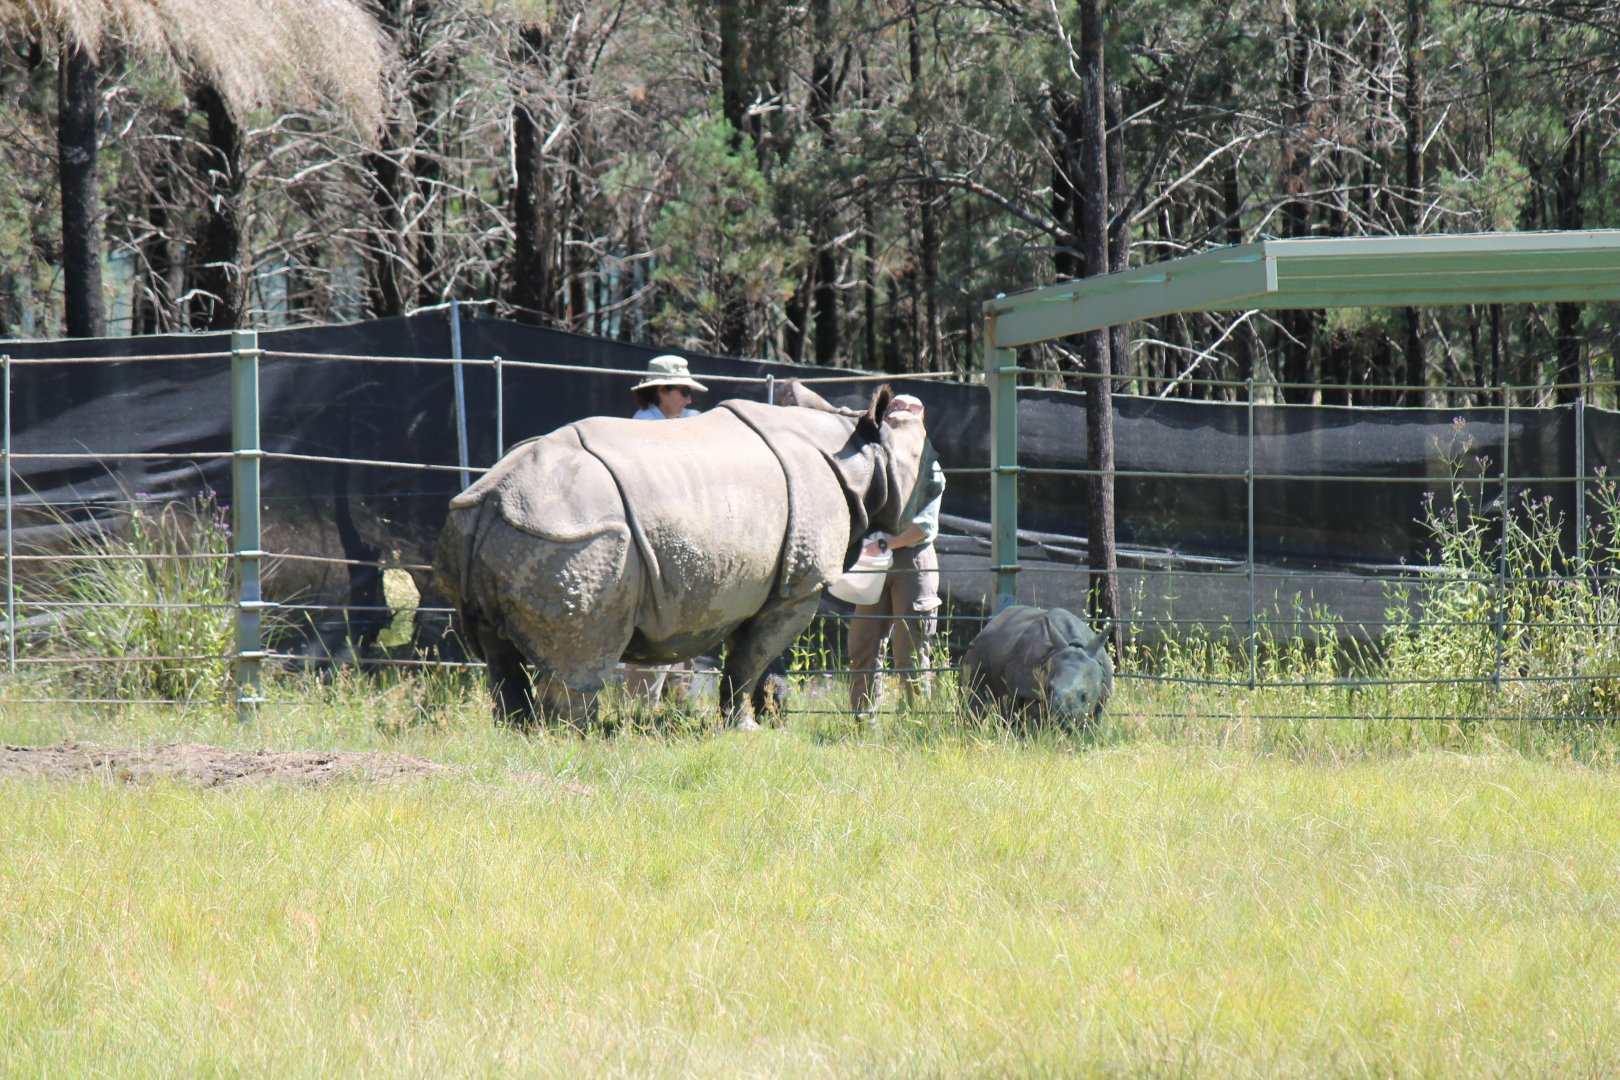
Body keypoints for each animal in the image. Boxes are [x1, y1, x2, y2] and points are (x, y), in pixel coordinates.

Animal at [435, 383, 931, 729]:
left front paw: (773, 720)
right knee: (581, 659)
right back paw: (573, 738)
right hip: (571, 537)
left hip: (487, 528)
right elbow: (749, 661)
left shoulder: (772, 582)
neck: (855, 451)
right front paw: (745, 730)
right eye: (920, 458)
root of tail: (494, 496)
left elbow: (761, 658)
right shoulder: (801, 585)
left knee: (498, 657)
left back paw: (517, 734)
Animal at [960, 605, 1114, 729]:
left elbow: (1092, 723)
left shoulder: (1103, 696)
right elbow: (1034, 720)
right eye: (1049, 689)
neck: (1075, 645)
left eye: (1084, 695)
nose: (1062, 717)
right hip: (977, 651)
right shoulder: (1028, 690)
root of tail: (987, 627)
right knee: (975, 700)